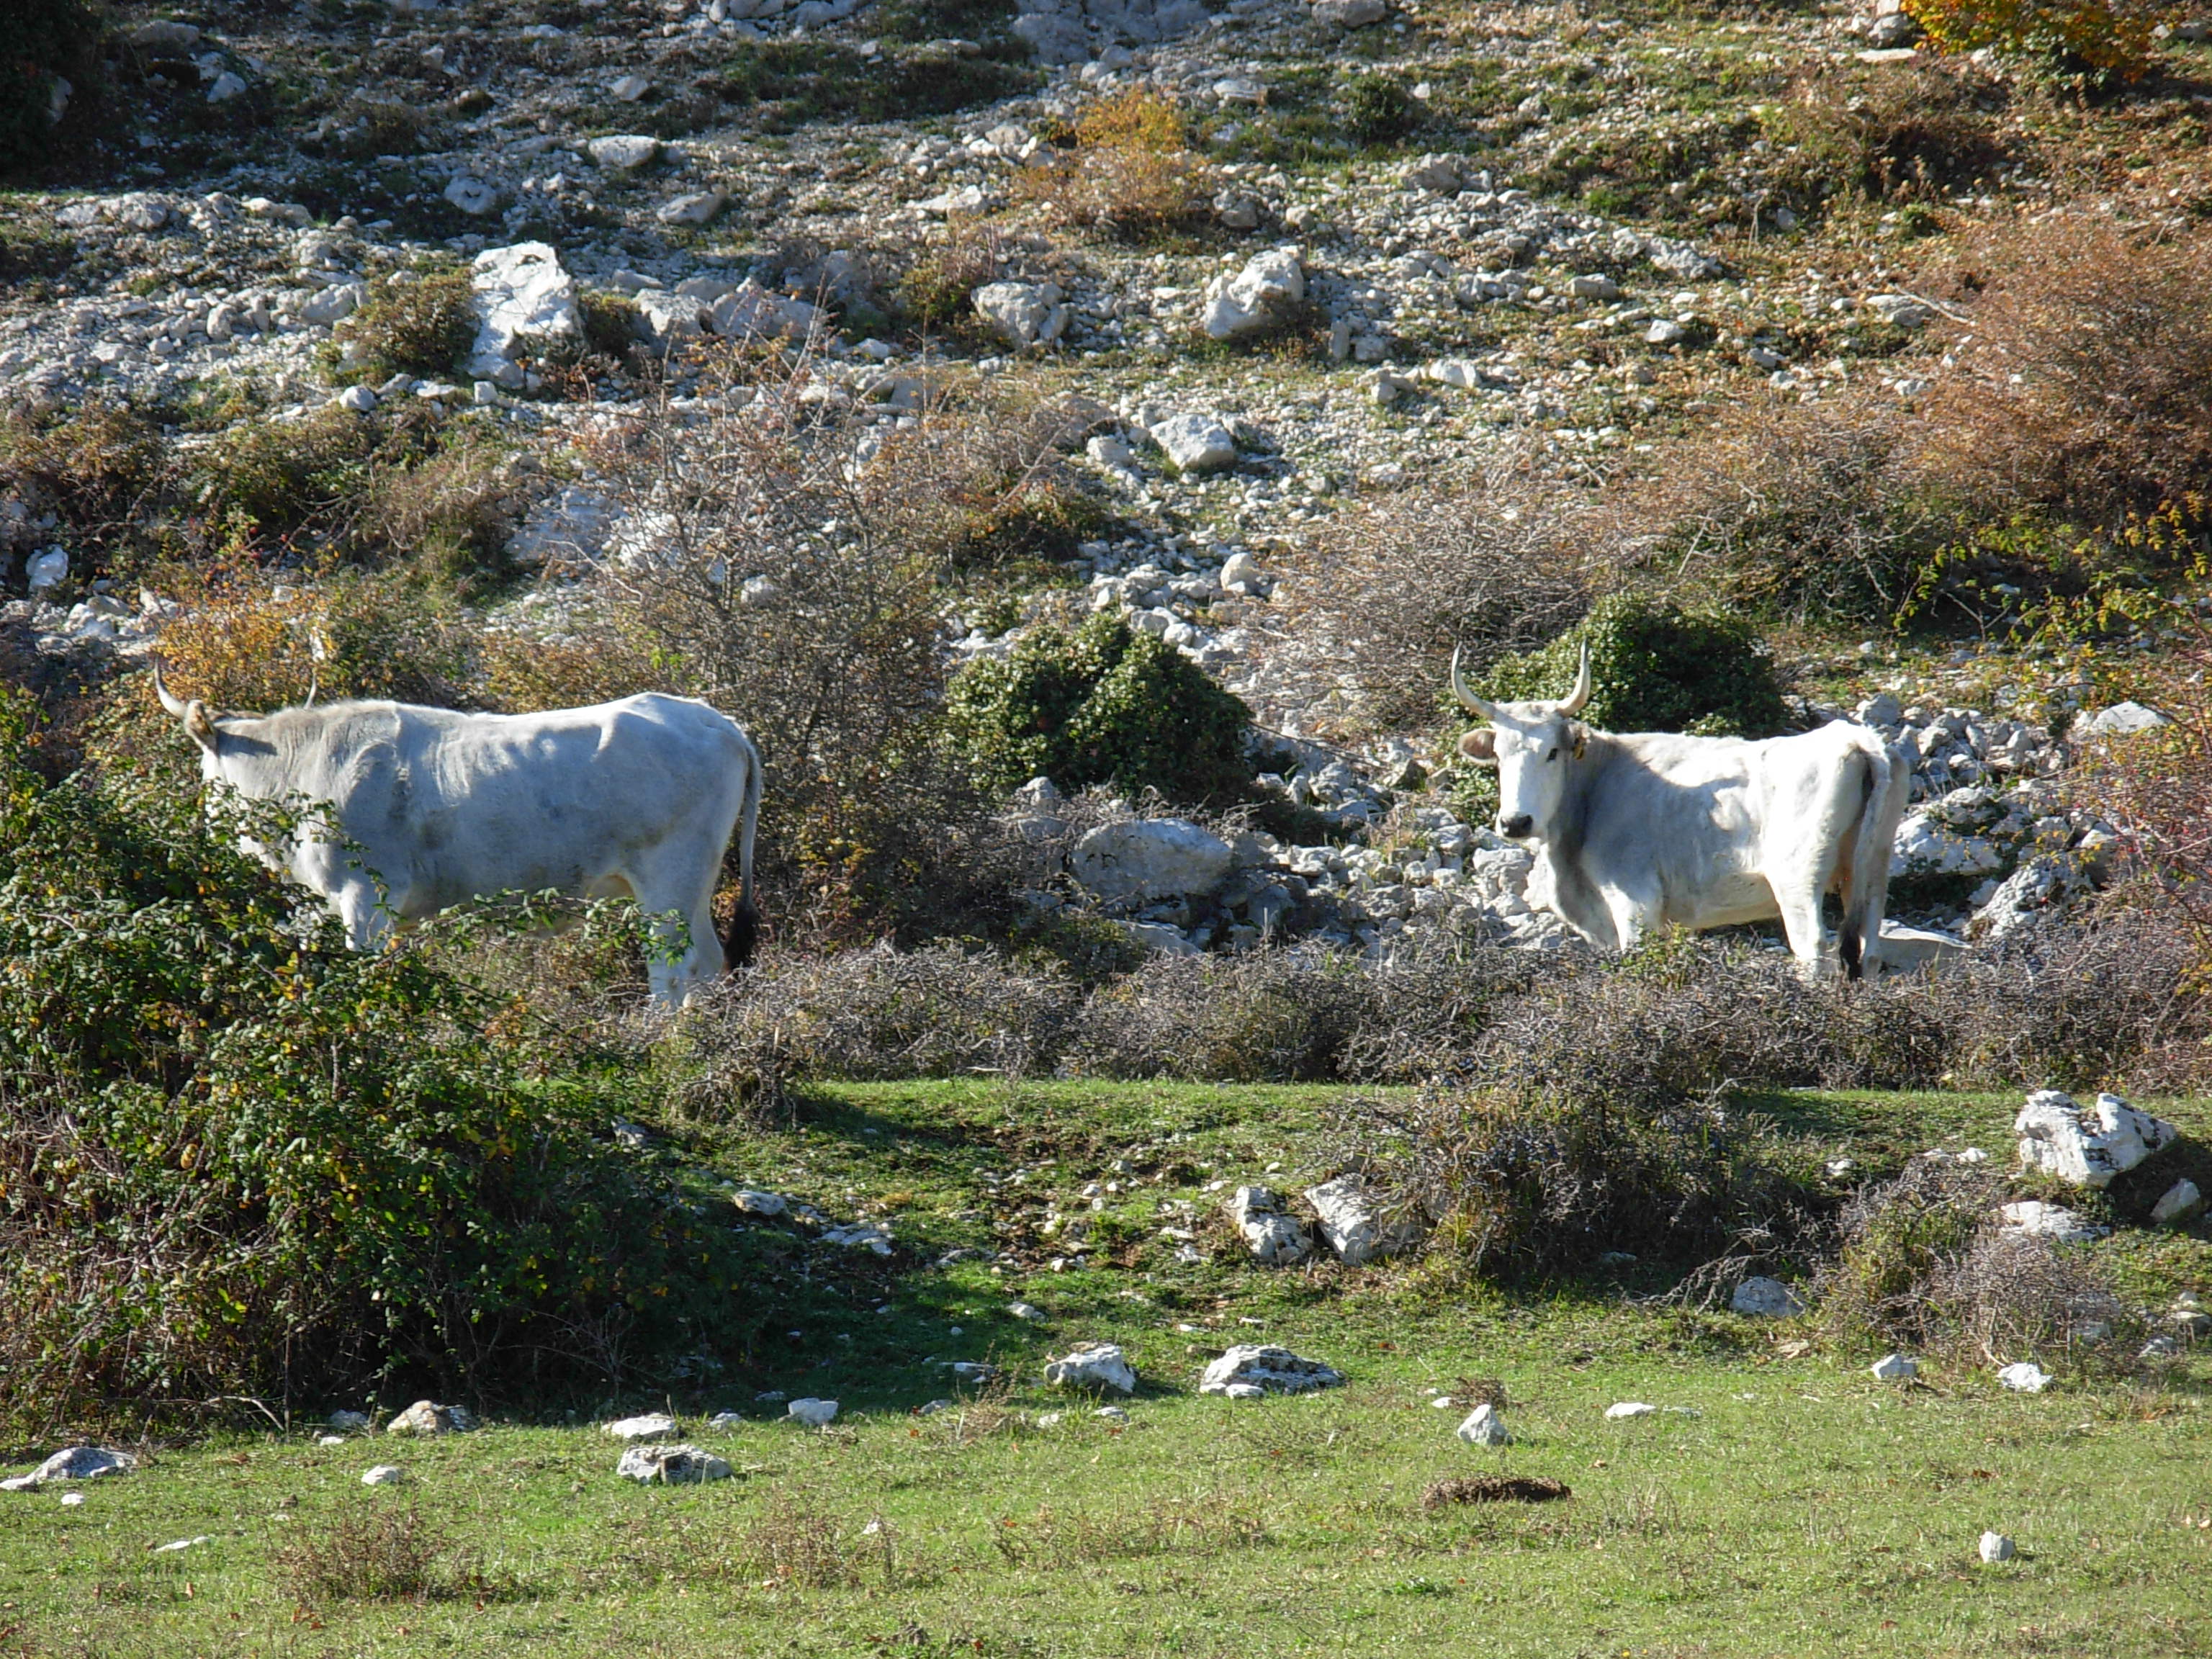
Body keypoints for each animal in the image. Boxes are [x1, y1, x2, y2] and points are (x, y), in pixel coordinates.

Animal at [153, 664, 761, 1006]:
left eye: (204, 770)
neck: (302, 771)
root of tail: (715, 720)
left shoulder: (366, 897)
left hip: (667, 885)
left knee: (674, 970)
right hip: (692, 886)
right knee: (709, 964)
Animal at [1450, 644, 1910, 981]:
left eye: (1552, 751)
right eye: (1498, 754)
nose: (1515, 822)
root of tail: (1854, 738)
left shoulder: (1635, 902)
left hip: (1798, 877)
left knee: (1812, 948)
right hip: (1871, 871)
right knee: (1868, 950)